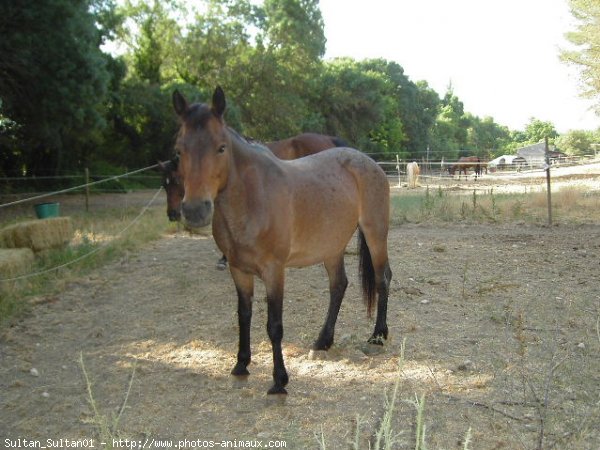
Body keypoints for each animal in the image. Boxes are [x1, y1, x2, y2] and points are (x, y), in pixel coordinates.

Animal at [172, 87, 394, 394]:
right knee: (339, 285)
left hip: (375, 234)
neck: (252, 200)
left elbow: (274, 325)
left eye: (221, 147)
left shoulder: (274, 271)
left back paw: (377, 336)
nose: (194, 210)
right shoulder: (238, 270)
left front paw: (279, 380)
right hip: (331, 246)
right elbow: (244, 315)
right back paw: (323, 341)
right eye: (179, 150)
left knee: (383, 277)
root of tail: (366, 160)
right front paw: (241, 364)